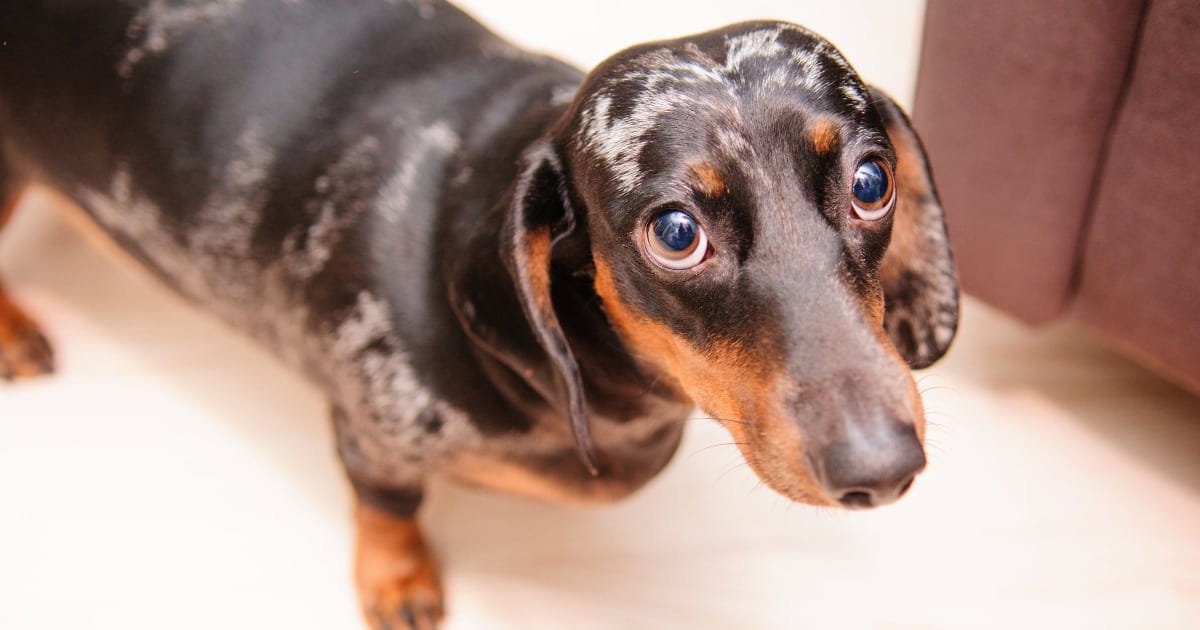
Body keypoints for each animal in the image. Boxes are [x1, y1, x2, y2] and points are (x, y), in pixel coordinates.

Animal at [0, 2, 955, 624]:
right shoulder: (373, 422)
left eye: (873, 181)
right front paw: (398, 582)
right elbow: (388, 505)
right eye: (677, 233)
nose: (883, 466)